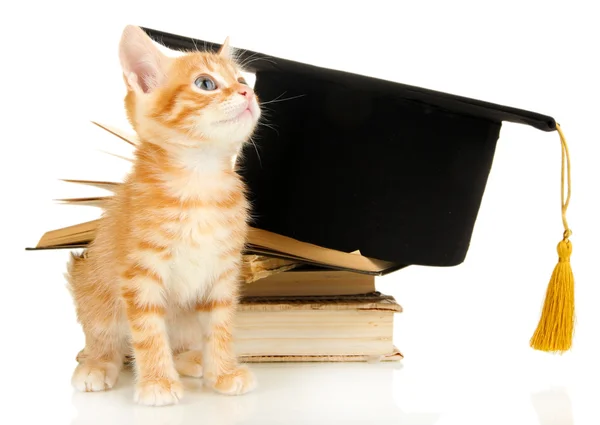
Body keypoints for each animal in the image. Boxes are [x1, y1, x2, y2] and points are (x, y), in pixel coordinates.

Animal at [67, 24, 262, 406]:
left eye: (241, 78)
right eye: (206, 83)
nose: (248, 91)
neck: (200, 182)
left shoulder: (223, 271)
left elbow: (221, 325)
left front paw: (223, 372)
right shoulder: (139, 274)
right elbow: (148, 331)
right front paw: (157, 382)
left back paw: (191, 359)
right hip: (91, 289)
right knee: (105, 339)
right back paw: (97, 364)